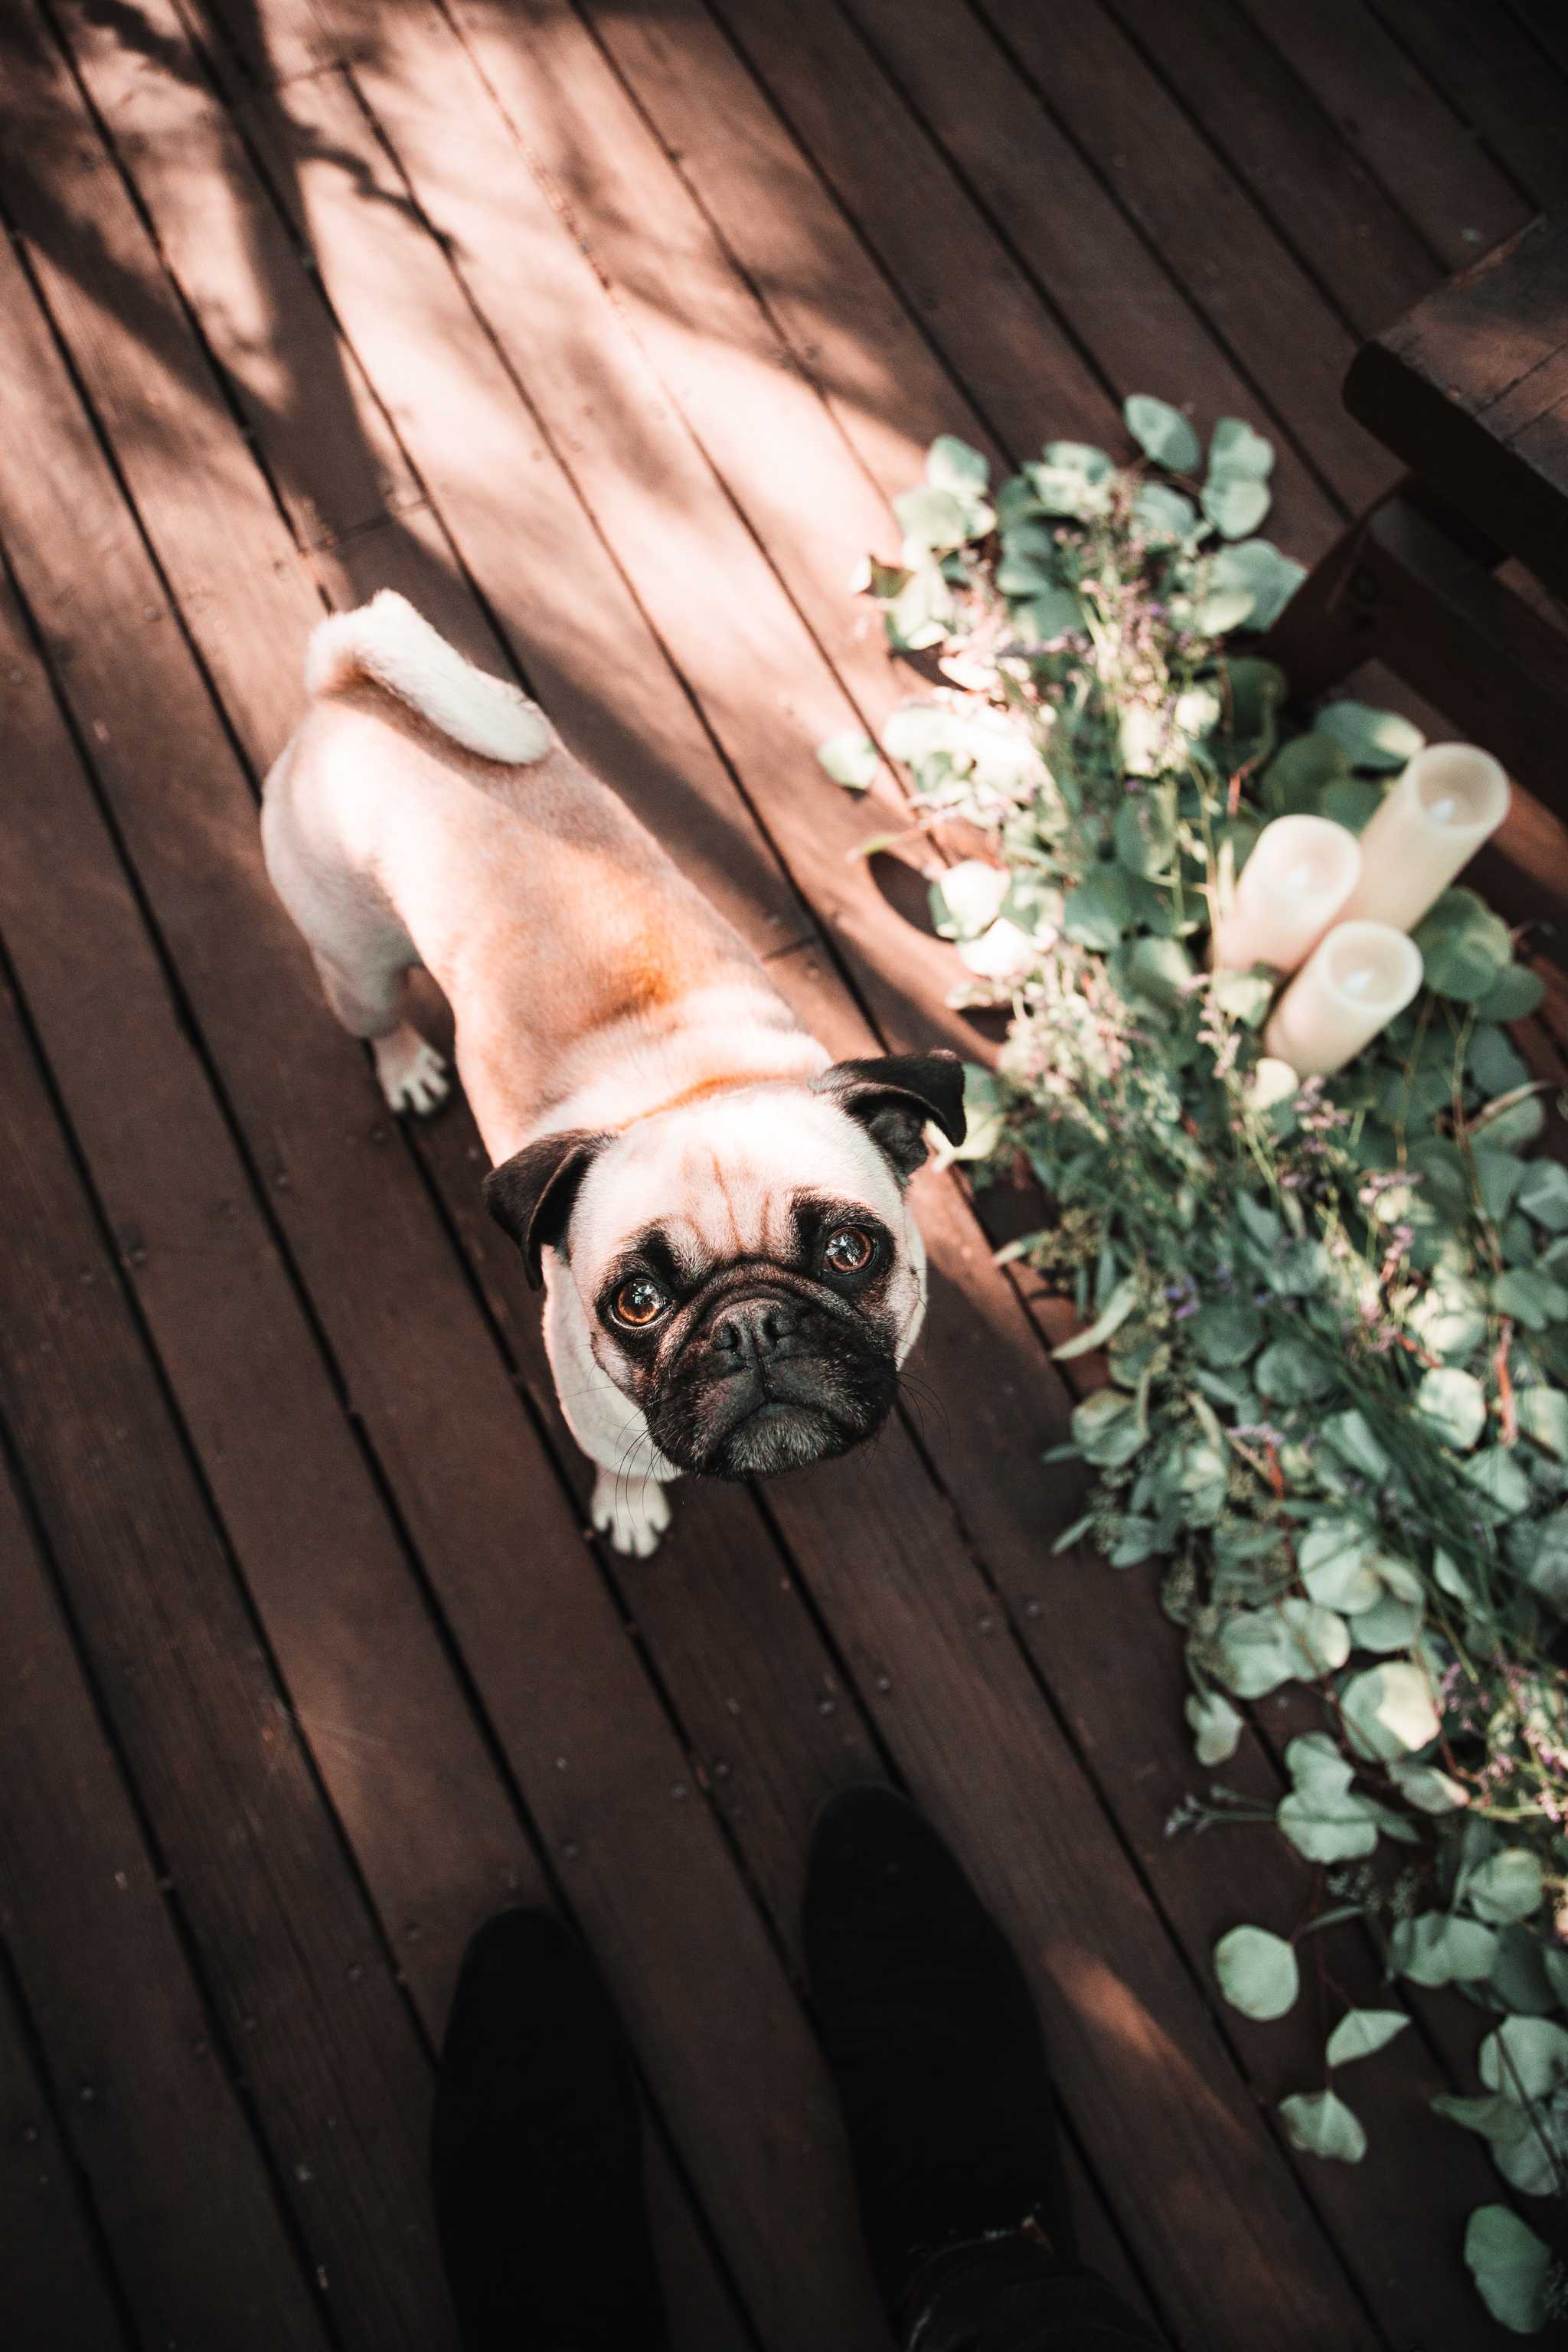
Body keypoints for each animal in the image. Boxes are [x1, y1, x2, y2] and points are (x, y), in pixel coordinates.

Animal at [263, 588, 963, 1552]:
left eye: (850, 1252)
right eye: (636, 1302)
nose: (752, 1324)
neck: (693, 1084)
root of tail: (347, 684)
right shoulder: (595, 1419)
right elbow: (623, 1467)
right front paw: (630, 1511)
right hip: (354, 962)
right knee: (375, 1013)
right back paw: (405, 1067)